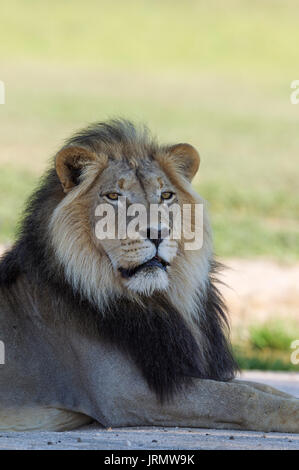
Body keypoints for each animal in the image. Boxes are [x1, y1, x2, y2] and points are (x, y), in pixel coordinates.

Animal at [0, 119, 299, 432]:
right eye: (113, 197)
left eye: (166, 195)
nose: (157, 233)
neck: (158, 299)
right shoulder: (127, 394)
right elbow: (243, 398)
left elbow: (260, 387)